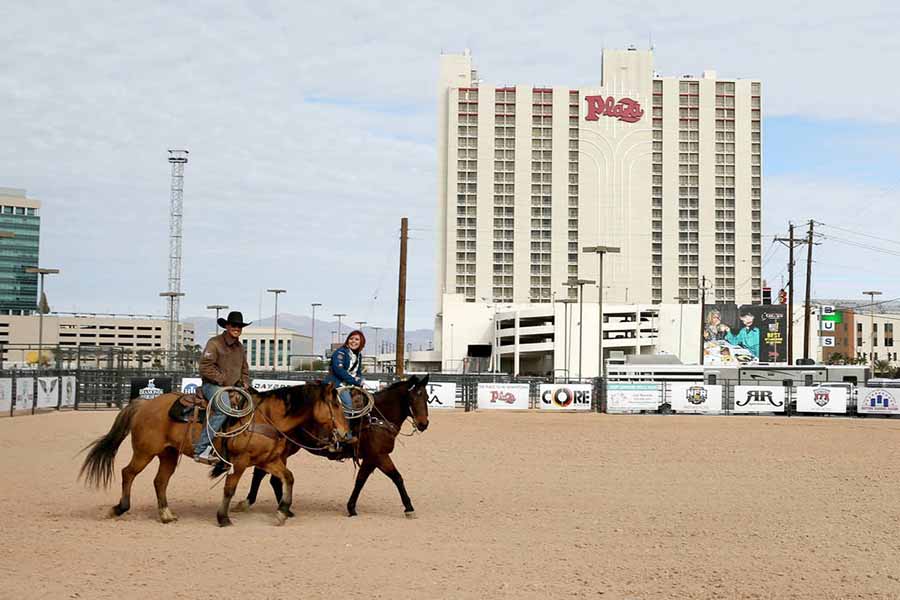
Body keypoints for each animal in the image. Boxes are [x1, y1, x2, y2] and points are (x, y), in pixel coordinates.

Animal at [80, 384, 348, 524]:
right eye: (335, 404)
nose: (345, 434)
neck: (266, 418)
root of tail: (145, 404)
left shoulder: (268, 460)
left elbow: (288, 478)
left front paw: (282, 512)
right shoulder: (240, 462)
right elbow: (230, 487)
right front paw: (223, 517)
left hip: (168, 454)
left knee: (160, 481)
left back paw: (166, 514)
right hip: (145, 451)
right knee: (128, 473)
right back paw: (119, 508)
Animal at [232, 376, 428, 516]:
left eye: (426, 397)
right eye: (413, 397)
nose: (424, 424)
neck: (376, 418)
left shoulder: (371, 459)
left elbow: (360, 481)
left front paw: (351, 507)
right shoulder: (379, 456)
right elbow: (397, 478)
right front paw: (409, 507)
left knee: (267, 476)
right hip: (285, 450)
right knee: (265, 475)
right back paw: (263, 505)